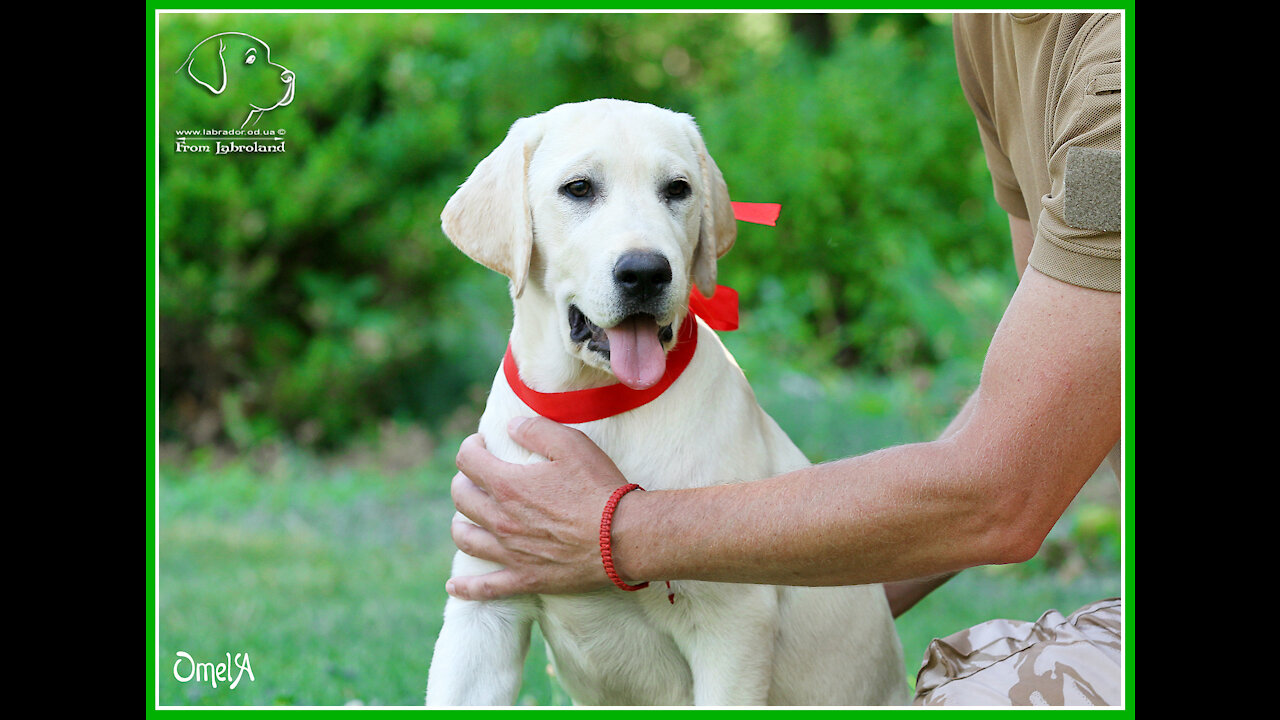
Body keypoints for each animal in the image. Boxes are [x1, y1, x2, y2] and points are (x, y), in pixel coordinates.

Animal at [430, 98, 911, 702]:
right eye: (578, 188)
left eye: (678, 189)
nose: (645, 272)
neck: (595, 403)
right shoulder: (482, 607)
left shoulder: (733, 626)